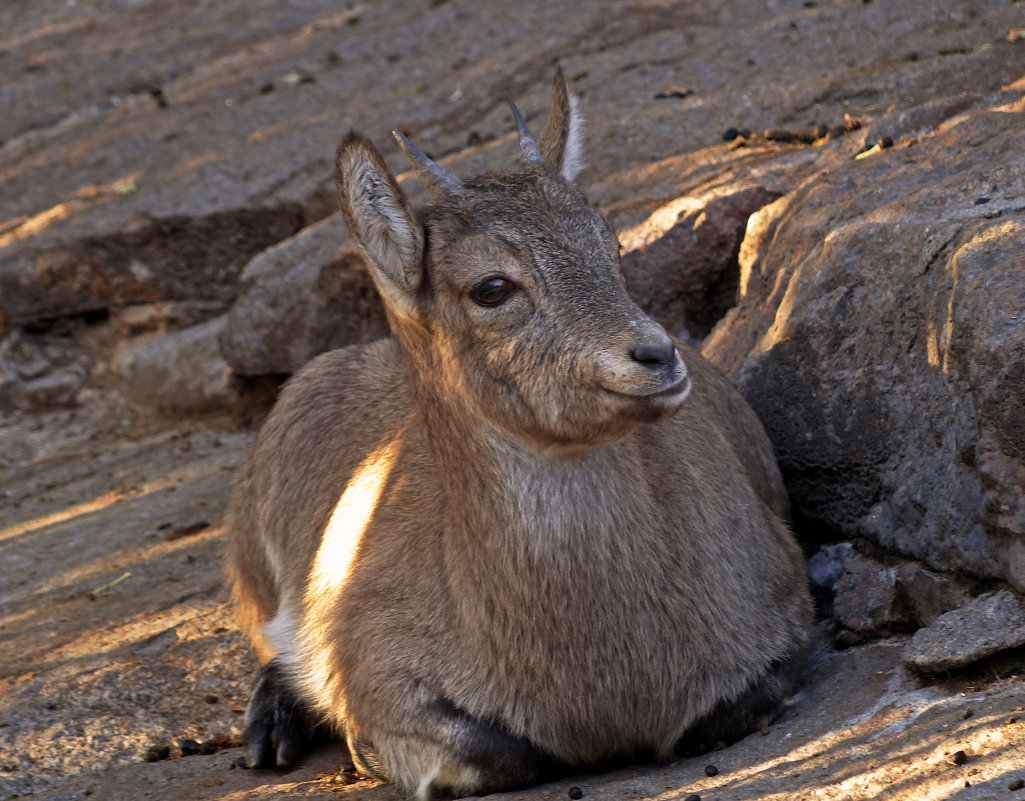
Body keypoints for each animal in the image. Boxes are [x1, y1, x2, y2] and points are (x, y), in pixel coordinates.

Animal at [228, 70, 811, 799]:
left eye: (611, 246)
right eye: (492, 286)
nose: (655, 356)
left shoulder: (781, 599)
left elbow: (726, 710)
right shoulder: (376, 663)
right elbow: (488, 751)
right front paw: (363, 745)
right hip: (258, 569)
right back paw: (270, 727)